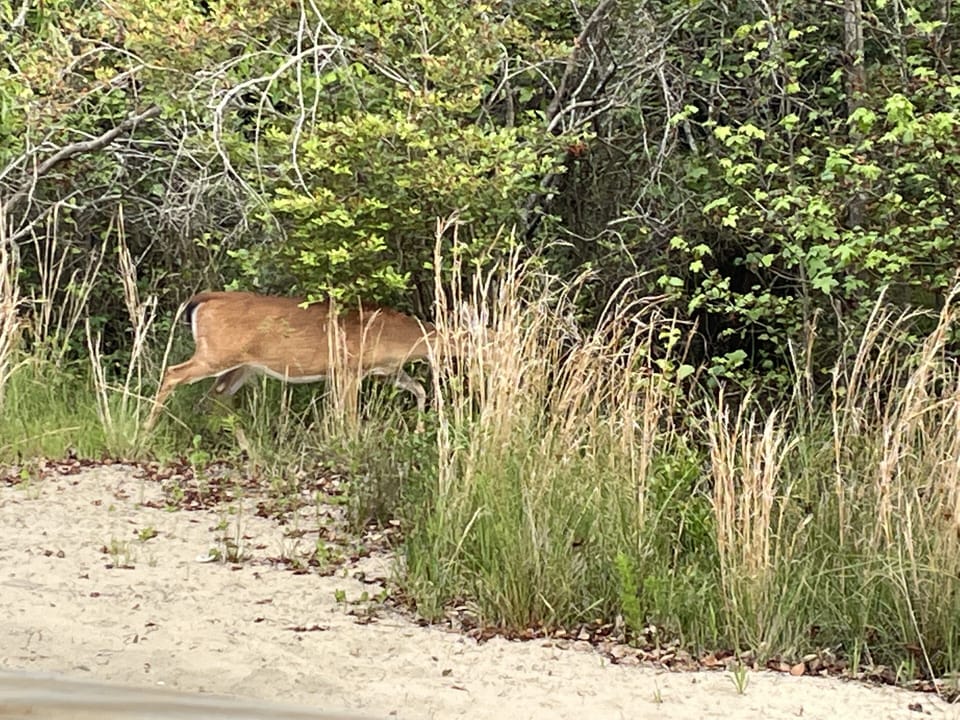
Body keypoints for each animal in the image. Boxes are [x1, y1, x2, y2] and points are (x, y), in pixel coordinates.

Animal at [143, 291, 448, 432]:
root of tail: (203, 298)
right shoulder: (348, 367)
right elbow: (348, 415)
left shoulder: (386, 371)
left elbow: (419, 388)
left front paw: (420, 429)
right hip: (216, 353)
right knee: (173, 372)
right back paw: (146, 427)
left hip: (241, 366)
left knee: (216, 395)